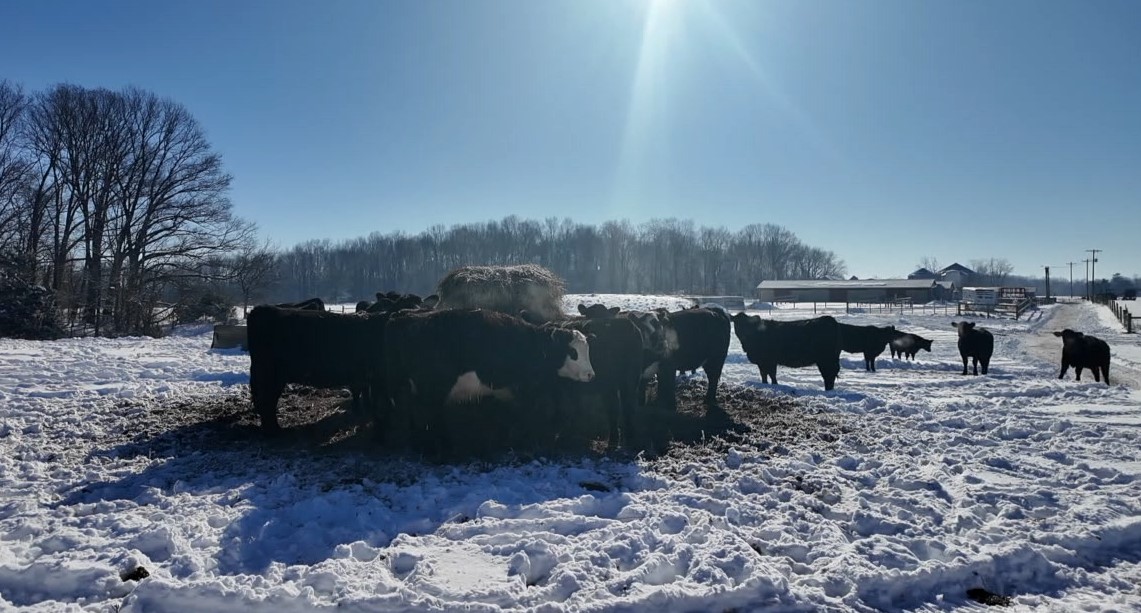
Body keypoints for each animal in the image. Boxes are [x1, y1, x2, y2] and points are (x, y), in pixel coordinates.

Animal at [383, 309, 595, 452]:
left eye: (586, 349)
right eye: (573, 352)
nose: (590, 374)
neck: (533, 345)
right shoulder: (524, 389)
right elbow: (527, 416)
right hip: (432, 389)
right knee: (427, 415)